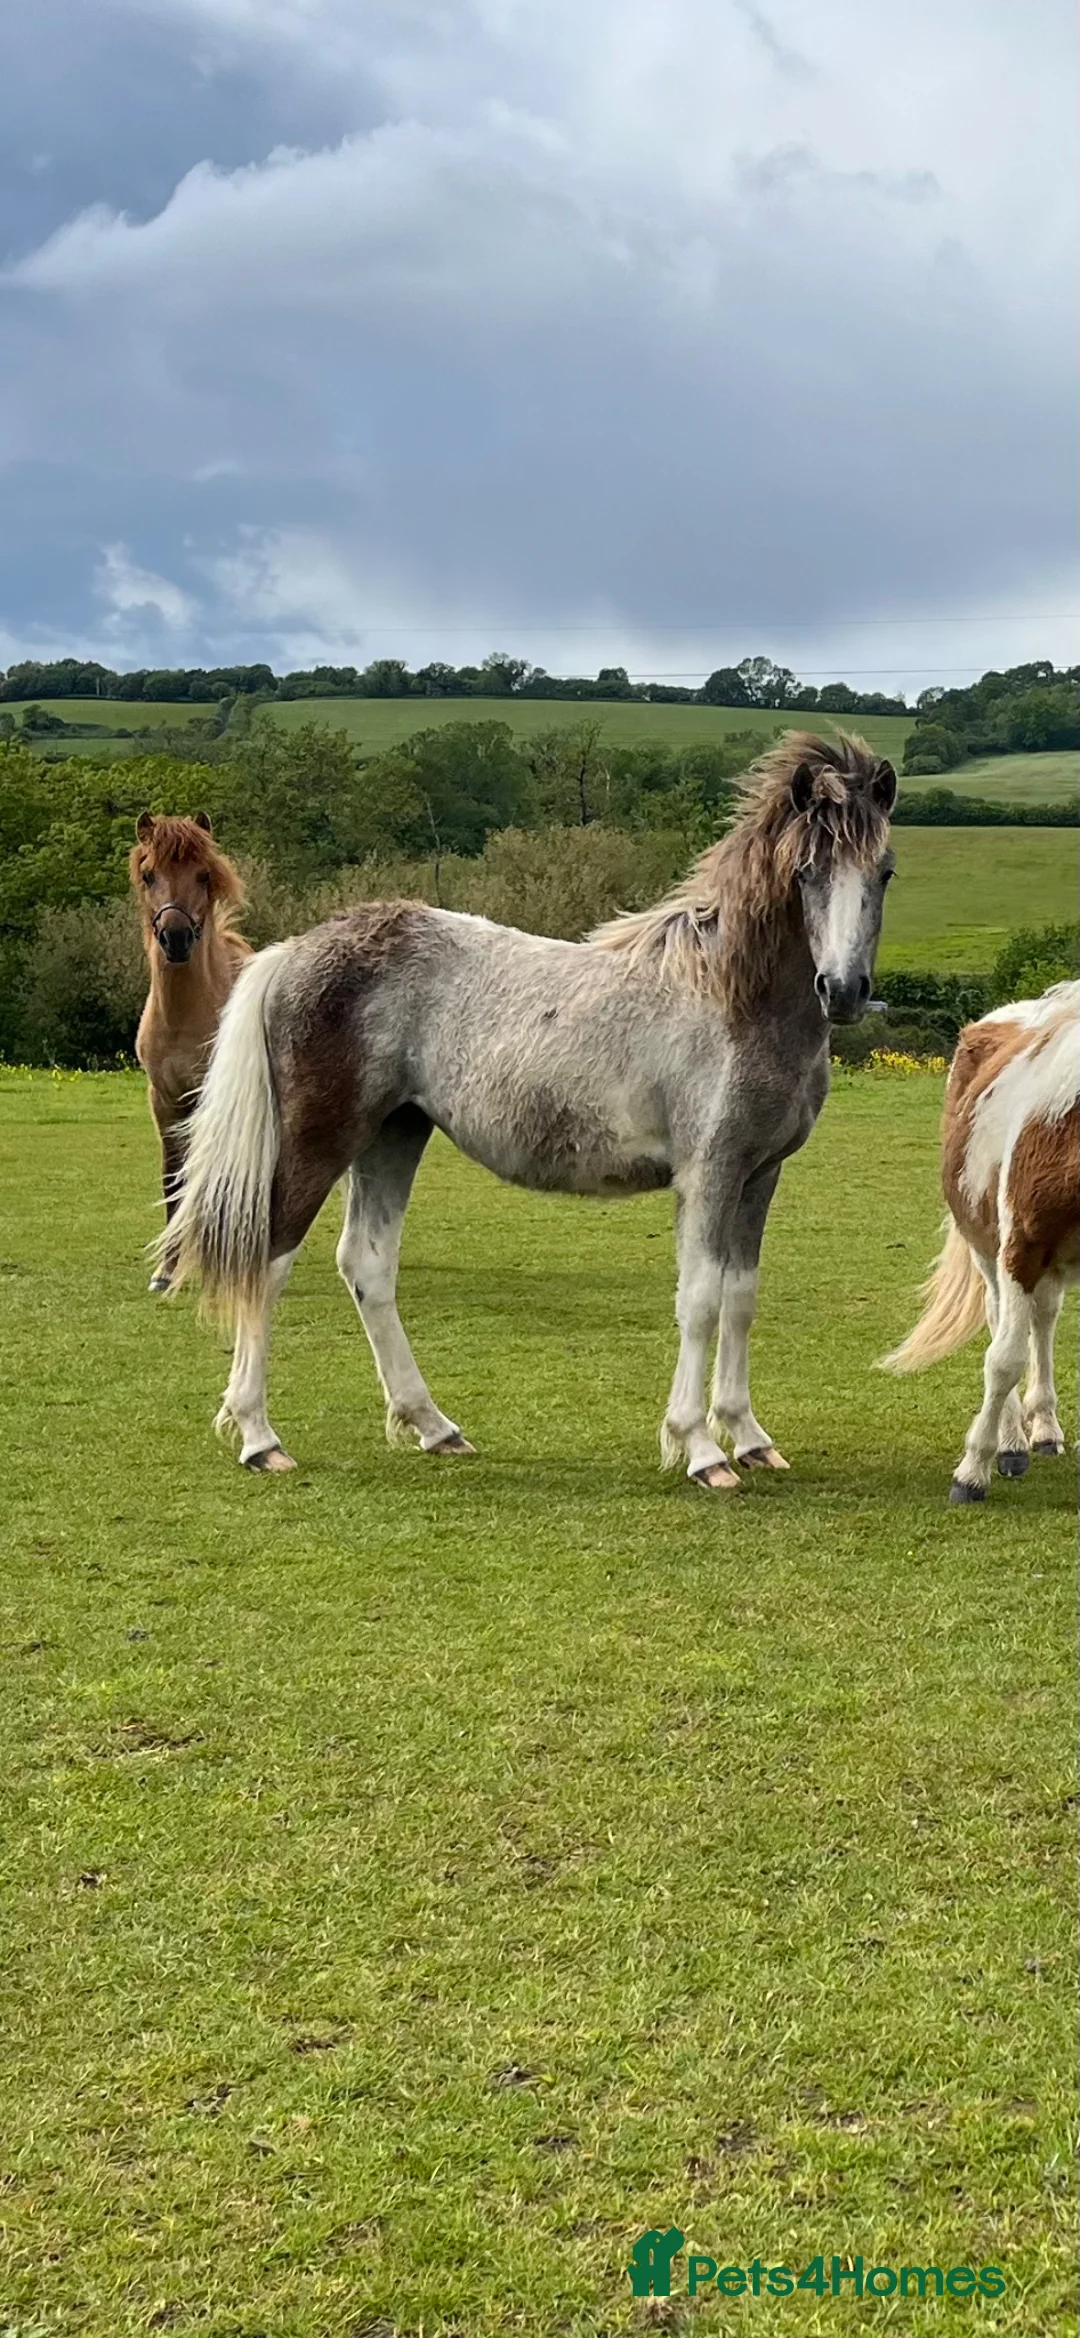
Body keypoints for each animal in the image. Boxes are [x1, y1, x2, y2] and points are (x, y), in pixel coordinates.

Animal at [130, 811, 251, 1292]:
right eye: (149, 875)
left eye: (202, 875)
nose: (176, 938)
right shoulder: (163, 1099)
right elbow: (173, 1177)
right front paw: (166, 1269)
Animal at [159, 731, 897, 1486]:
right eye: (807, 871)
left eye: (885, 872)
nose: (842, 990)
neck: (728, 996)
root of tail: (294, 952)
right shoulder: (710, 1174)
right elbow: (699, 1301)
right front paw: (700, 1448)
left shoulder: (759, 1175)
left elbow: (740, 1301)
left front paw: (747, 1435)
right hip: (321, 1138)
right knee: (268, 1259)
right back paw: (259, 1436)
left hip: (394, 1134)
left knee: (367, 1265)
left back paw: (434, 1426)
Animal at [881, 980, 1078, 1502]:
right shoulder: (1020, 1249)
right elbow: (1004, 1360)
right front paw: (973, 1470)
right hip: (990, 1250)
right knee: (1001, 1323)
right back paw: (1010, 1441)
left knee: (1043, 1319)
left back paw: (1044, 1428)